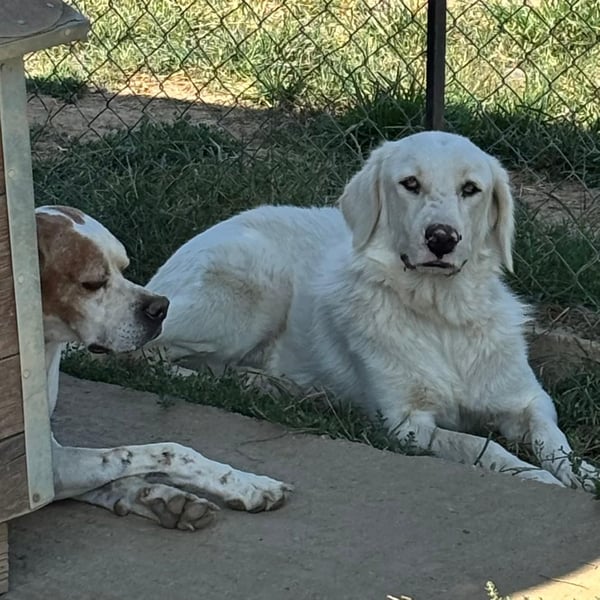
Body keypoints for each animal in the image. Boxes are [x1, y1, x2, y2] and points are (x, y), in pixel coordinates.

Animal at [36, 205, 290, 531]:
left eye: (124, 267)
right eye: (92, 283)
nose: (160, 308)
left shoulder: (53, 464)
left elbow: (125, 470)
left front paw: (170, 497)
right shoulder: (43, 471)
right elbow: (158, 452)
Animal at [142, 130, 600, 491]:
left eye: (471, 189)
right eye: (410, 183)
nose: (442, 238)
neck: (442, 315)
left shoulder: (529, 400)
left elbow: (555, 440)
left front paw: (584, 474)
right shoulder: (408, 424)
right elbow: (480, 445)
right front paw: (533, 475)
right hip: (253, 291)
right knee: (148, 354)